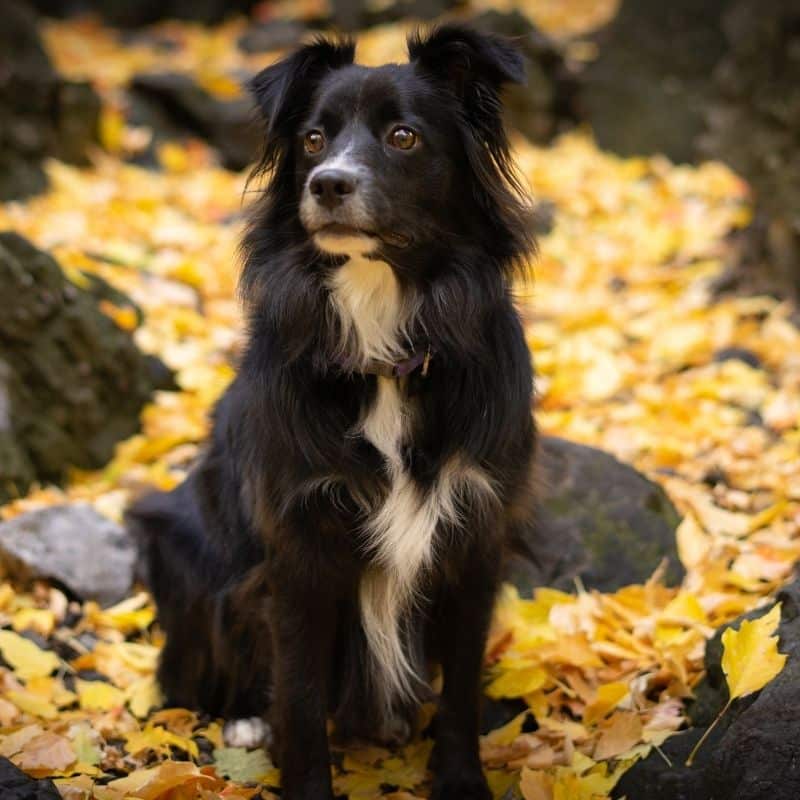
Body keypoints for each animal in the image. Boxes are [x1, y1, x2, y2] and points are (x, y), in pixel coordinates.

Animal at [130, 25, 536, 800]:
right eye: (313, 139)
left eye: (404, 136)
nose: (328, 185)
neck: (382, 341)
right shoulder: (299, 547)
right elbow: (300, 696)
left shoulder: (475, 533)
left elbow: (463, 688)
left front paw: (460, 780)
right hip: (180, 541)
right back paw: (244, 720)